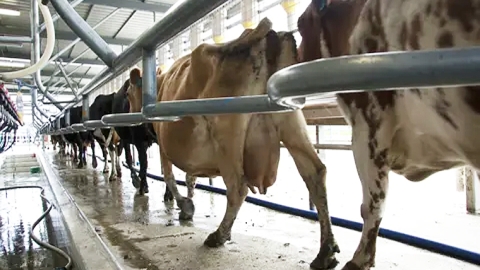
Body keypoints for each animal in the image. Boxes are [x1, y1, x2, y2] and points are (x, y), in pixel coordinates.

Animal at [125, 17, 340, 268]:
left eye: (128, 93)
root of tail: (255, 35)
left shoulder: (164, 144)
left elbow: (169, 176)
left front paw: (186, 206)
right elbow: (190, 178)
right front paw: (189, 201)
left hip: (227, 135)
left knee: (237, 187)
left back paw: (219, 235)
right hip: (291, 120)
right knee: (315, 173)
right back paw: (326, 251)